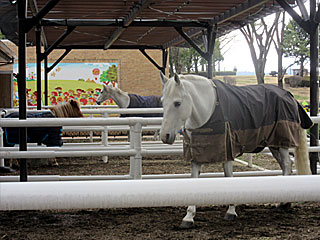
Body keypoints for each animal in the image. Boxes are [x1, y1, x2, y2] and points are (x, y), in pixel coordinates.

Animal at [160, 72, 312, 229]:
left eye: (177, 103)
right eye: (162, 102)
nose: (164, 136)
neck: (209, 110)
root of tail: (289, 95)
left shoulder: (227, 152)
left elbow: (229, 178)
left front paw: (231, 211)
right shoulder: (197, 155)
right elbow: (193, 182)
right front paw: (189, 217)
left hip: (281, 143)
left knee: (287, 165)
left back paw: (283, 203)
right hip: (273, 145)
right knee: (283, 166)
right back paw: (283, 202)